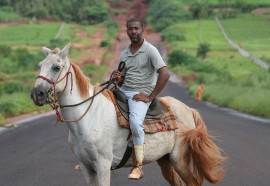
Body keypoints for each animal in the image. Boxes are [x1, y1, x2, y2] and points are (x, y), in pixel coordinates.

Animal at [31, 43, 226, 186]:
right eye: (40, 66)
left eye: (56, 67)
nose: (36, 94)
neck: (87, 119)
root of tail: (188, 110)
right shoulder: (87, 168)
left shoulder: (103, 165)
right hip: (165, 160)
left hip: (179, 159)